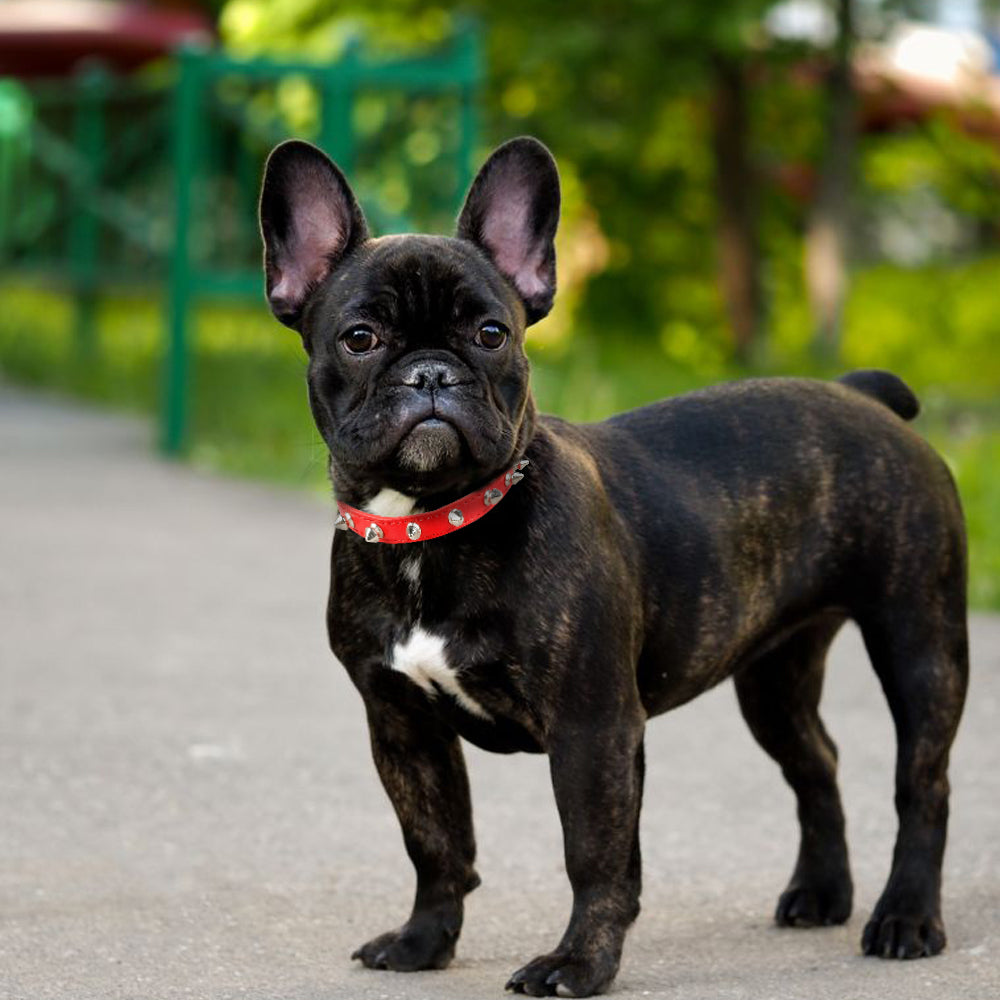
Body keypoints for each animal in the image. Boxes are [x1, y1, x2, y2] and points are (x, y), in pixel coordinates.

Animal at [258, 137, 968, 996]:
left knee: (922, 783)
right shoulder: (401, 725)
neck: (435, 524)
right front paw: (424, 940)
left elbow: (594, 856)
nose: (431, 372)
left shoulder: (592, 728)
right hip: (773, 676)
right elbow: (434, 842)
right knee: (816, 763)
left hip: (920, 643)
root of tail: (863, 396)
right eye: (359, 339)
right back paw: (822, 892)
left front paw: (578, 962)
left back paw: (906, 918)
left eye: (491, 334)